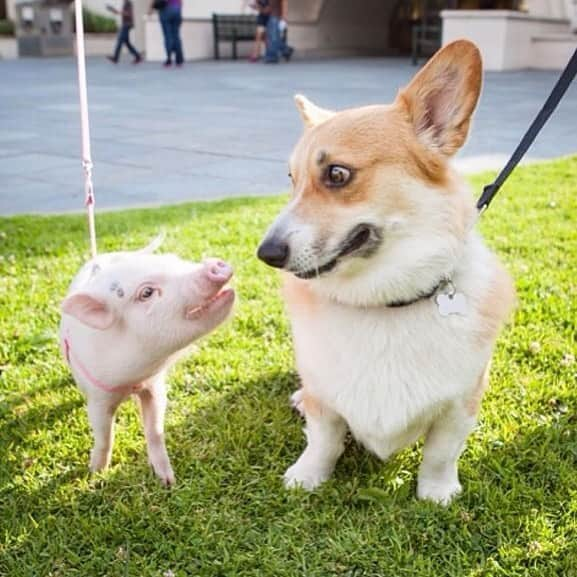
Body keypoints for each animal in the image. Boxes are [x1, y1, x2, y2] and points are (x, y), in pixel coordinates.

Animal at [255, 39, 512, 504]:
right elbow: (323, 440)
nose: (266, 253)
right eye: (291, 178)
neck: (384, 303)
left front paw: (437, 494)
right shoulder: (325, 403)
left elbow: (441, 454)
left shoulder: (459, 407)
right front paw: (307, 477)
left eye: (337, 174)